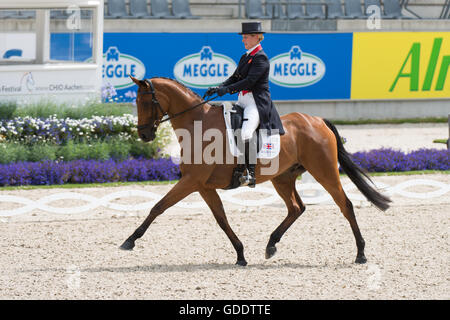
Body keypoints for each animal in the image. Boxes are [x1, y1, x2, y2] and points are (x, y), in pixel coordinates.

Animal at [121, 76, 392, 266]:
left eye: (146, 101)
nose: (144, 135)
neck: (197, 125)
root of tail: (317, 120)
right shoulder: (203, 185)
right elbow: (221, 218)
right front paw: (240, 254)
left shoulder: (191, 181)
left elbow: (159, 206)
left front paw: (130, 240)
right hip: (283, 178)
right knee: (297, 208)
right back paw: (271, 245)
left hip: (324, 171)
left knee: (345, 205)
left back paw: (361, 253)